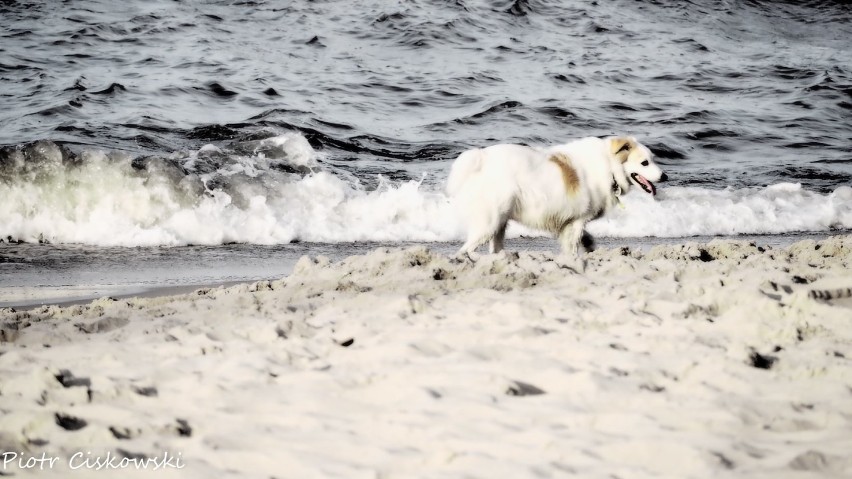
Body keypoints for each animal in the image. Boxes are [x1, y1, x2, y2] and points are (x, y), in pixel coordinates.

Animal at [446, 136, 664, 258]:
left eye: (652, 160)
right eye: (644, 163)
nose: (665, 176)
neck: (610, 166)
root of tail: (481, 158)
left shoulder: (571, 223)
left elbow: (582, 240)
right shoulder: (577, 222)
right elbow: (574, 245)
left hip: (499, 223)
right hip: (489, 223)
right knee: (465, 249)